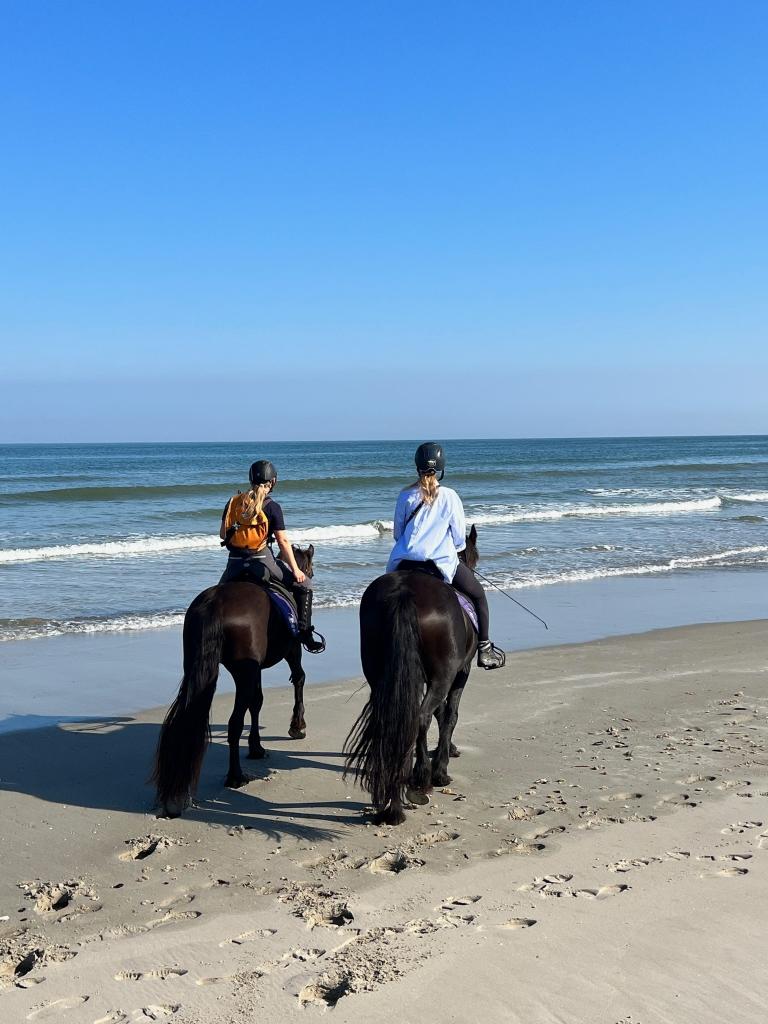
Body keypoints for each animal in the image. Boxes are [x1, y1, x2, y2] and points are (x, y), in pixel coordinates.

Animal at [153, 544, 315, 815]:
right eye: (310, 569)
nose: (308, 576)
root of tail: (215, 605)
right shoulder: (292, 650)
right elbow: (299, 679)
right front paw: (297, 725)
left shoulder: (256, 669)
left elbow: (257, 702)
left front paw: (257, 748)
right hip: (244, 672)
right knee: (234, 722)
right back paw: (235, 776)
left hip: (203, 668)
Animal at [348, 528, 483, 823]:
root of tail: (404, 590)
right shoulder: (460, 672)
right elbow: (450, 715)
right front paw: (441, 768)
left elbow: (441, 714)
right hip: (443, 675)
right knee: (420, 718)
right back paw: (421, 781)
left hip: (382, 674)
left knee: (395, 720)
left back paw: (393, 803)